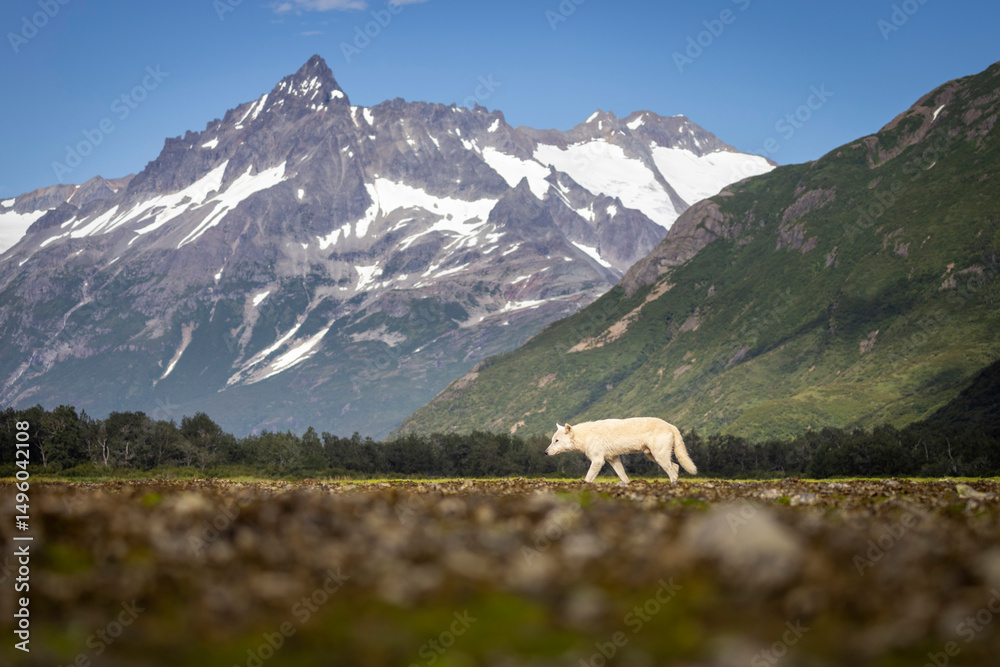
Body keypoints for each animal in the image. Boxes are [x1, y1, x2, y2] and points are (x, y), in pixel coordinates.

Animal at [546, 417, 697, 485]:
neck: (585, 436)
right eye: (552, 440)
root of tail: (671, 426)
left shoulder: (598, 460)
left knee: (672, 471)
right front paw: (625, 484)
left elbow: (588, 478)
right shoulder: (613, 458)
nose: (545, 452)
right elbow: (622, 474)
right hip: (652, 455)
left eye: (556, 441)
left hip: (659, 456)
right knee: (676, 467)